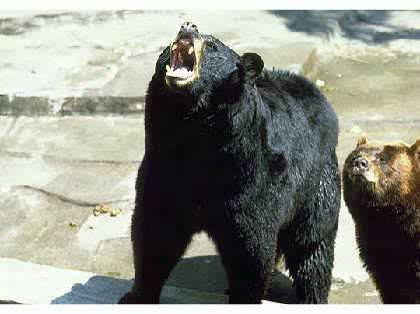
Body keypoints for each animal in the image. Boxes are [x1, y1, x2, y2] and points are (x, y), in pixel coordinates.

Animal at [119, 22, 342, 304]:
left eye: (213, 44)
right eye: (171, 41)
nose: (188, 25)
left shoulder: (251, 181)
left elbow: (250, 248)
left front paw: (244, 296)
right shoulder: (163, 167)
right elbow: (156, 231)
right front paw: (137, 295)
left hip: (316, 184)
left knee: (312, 246)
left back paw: (312, 296)